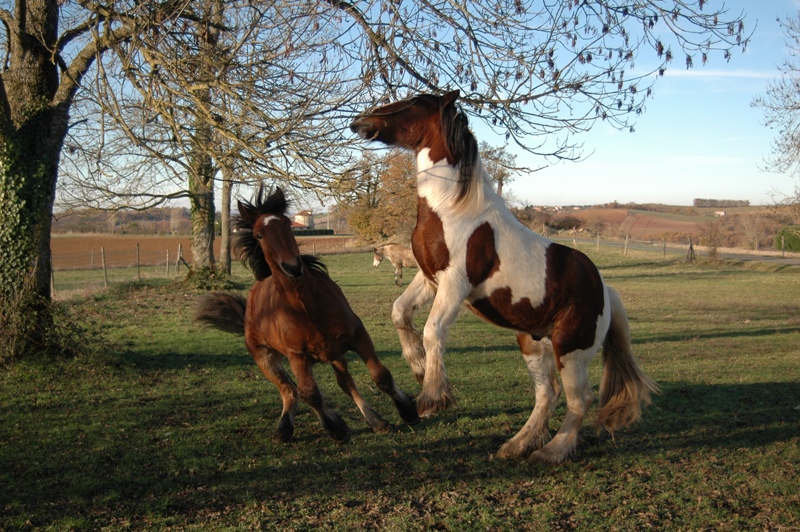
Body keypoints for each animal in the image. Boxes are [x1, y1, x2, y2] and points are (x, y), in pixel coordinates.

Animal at [195, 185, 418, 442]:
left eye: (287, 225)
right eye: (259, 235)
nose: (293, 267)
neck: (306, 307)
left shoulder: (358, 336)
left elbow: (381, 376)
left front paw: (408, 410)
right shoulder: (297, 356)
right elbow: (309, 394)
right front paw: (336, 428)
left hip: (334, 353)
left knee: (345, 383)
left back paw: (376, 420)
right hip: (265, 358)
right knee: (290, 390)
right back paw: (284, 428)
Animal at [354, 90, 660, 462]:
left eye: (413, 102)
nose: (360, 121)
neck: (453, 209)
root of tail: (604, 290)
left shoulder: (455, 285)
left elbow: (432, 329)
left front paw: (432, 397)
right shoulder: (429, 279)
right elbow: (400, 311)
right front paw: (418, 367)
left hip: (570, 349)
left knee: (579, 400)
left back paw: (551, 452)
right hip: (531, 342)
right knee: (547, 395)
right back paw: (518, 445)